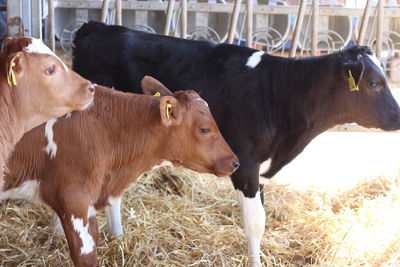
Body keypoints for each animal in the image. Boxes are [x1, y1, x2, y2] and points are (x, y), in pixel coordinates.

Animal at [72, 20, 400, 266]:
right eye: (374, 83)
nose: (398, 117)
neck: (280, 93)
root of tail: (95, 26)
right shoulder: (245, 166)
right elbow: (254, 224)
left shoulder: (262, 170)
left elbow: (262, 220)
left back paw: (118, 238)